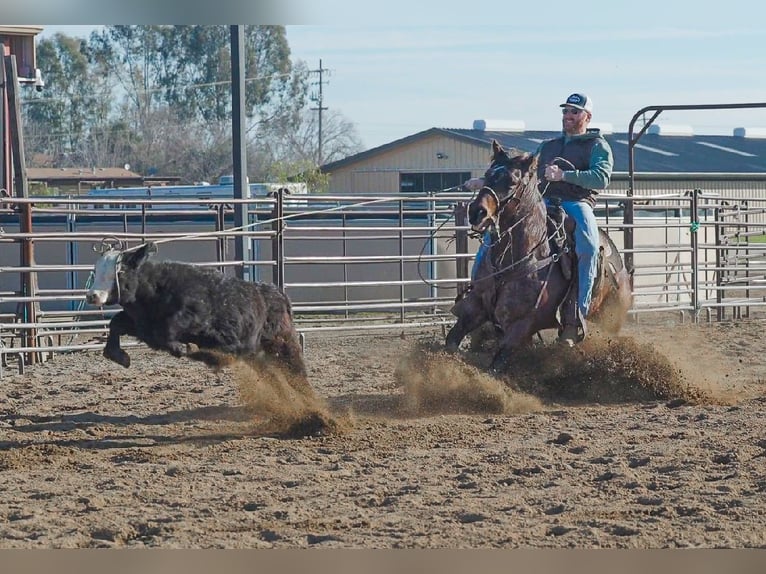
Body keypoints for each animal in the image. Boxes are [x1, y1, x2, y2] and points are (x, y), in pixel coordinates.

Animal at [445, 140, 633, 372]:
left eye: (512, 181)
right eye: (488, 174)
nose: (476, 212)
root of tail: (623, 271)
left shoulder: (522, 325)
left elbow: (495, 366)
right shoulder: (475, 305)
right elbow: (451, 342)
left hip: (609, 321)